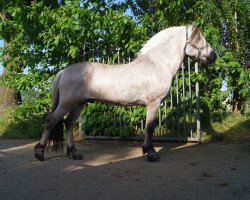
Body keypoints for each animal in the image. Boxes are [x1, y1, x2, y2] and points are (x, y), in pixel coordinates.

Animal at [33, 25, 217, 162]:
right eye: (200, 39)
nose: (213, 56)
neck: (157, 64)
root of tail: (64, 71)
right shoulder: (153, 103)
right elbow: (149, 127)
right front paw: (150, 153)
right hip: (67, 104)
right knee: (51, 121)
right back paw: (40, 153)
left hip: (79, 104)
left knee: (69, 124)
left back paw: (75, 153)